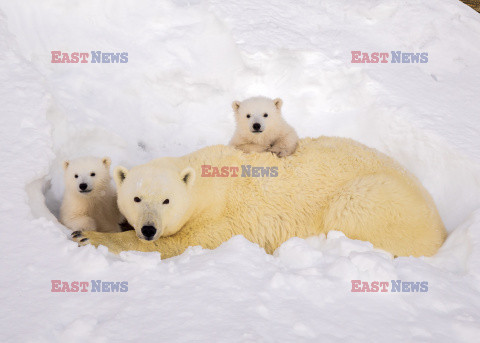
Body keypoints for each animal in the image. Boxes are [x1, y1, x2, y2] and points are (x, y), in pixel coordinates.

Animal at [71, 137, 446, 258]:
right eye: (136, 199)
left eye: (166, 201)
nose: (148, 228)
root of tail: (441, 228)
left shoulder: (222, 218)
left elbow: (183, 243)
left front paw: (86, 235)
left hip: (376, 197)